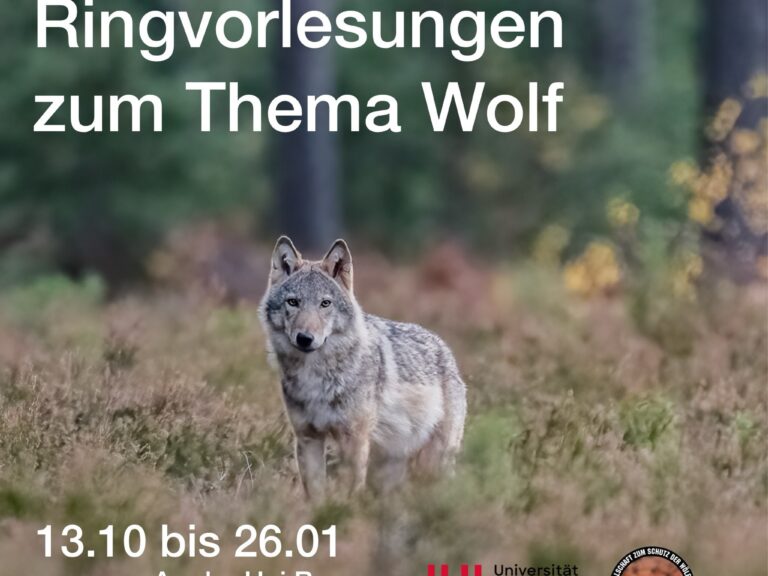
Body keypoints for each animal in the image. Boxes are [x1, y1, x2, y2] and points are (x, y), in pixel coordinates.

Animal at [259, 236, 467, 501]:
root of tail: (445, 349)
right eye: (293, 302)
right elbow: (315, 494)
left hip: (432, 463)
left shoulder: (354, 441)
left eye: (325, 303)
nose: (305, 338)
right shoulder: (307, 437)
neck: (316, 377)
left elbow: (352, 492)